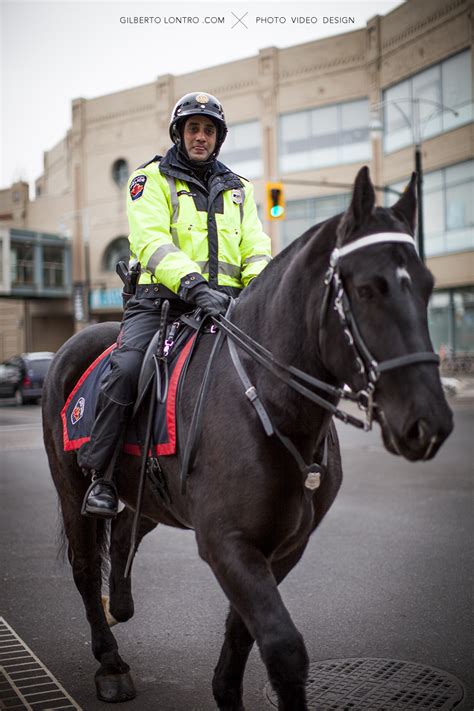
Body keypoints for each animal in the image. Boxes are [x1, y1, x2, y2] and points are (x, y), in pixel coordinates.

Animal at [40, 168, 452, 711]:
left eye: (428, 288)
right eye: (367, 289)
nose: (431, 422)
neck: (268, 401)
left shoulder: (281, 548)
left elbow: (243, 635)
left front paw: (225, 688)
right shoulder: (227, 543)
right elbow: (282, 647)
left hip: (147, 496)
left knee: (128, 532)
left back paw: (120, 605)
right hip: (72, 491)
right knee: (87, 568)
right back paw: (110, 662)